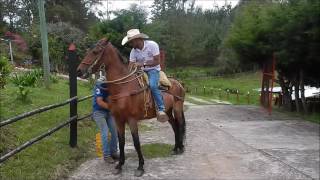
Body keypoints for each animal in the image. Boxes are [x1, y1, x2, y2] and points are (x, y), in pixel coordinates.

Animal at [76, 38, 186, 176]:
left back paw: (181, 148)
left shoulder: (132, 119)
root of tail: (178, 83)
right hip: (168, 112)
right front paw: (119, 165)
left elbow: (136, 142)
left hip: (177, 109)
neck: (123, 88)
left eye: (95, 51)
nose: (79, 70)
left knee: (180, 125)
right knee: (175, 127)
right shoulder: (118, 120)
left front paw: (140, 167)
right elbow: (121, 141)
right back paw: (175, 148)